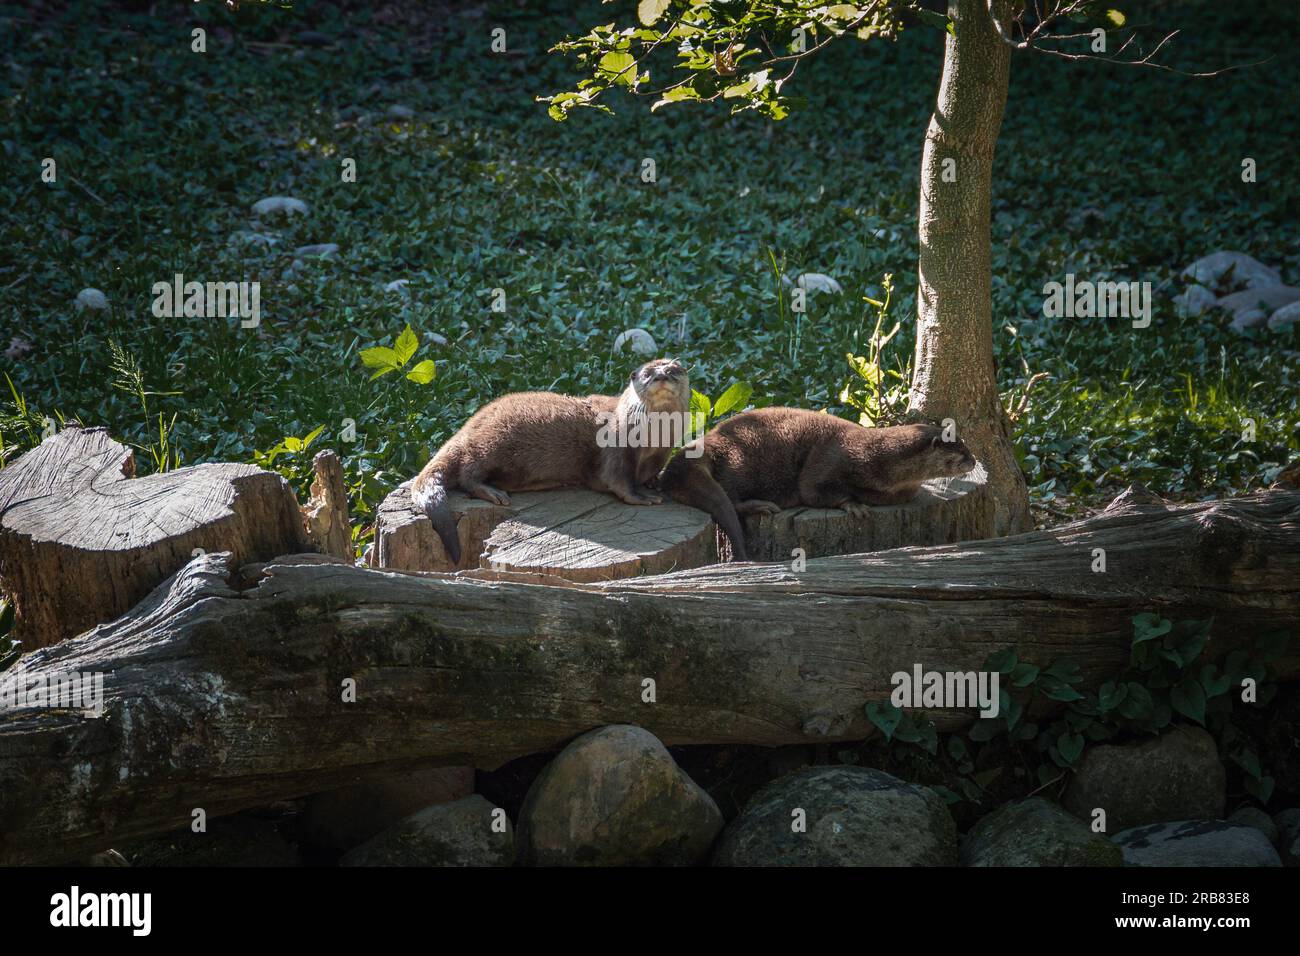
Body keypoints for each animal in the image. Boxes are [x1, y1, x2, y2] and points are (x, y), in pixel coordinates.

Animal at [411, 359, 690, 563]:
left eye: (672, 370)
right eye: (647, 373)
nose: (661, 376)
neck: (653, 441)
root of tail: (466, 428)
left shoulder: (661, 454)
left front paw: (655, 483)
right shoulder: (616, 449)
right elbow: (618, 481)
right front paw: (643, 497)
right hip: (490, 442)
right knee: (468, 472)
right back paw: (492, 492)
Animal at [657, 406, 977, 561]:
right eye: (960, 452)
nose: (974, 460)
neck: (874, 456)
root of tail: (709, 441)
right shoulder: (831, 459)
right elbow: (814, 490)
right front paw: (853, 505)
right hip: (739, 461)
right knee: (732, 497)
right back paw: (762, 506)